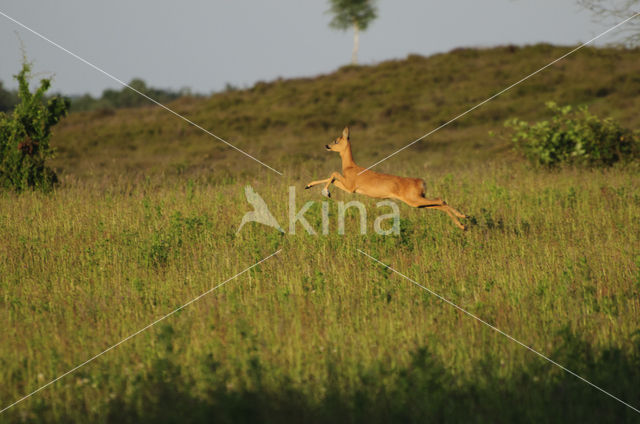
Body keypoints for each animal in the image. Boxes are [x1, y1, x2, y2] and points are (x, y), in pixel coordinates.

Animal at [302, 127, 468, 230]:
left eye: (337, 140)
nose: (327, 146)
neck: (350, 167)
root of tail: (420, 182)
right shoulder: (350, 188)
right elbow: (332, 178)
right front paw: (308, 185)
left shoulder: (350, 187)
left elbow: (334, 174)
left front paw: (326, 192)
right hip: (418, 203)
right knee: (439, 204)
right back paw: (463, 222)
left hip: (415, 200)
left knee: (441, 200)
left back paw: (464, 221)